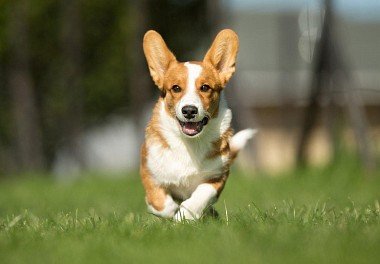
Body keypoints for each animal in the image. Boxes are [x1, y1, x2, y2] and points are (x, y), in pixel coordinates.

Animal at [140, 28, 255, 221]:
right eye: (176, 88)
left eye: (205, 87)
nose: (189, 110)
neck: (190, 144)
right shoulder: (150, 173)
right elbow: (160, 202)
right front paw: (172, 212)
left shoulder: (217, 177)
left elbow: (202, 195)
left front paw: (185, 215)